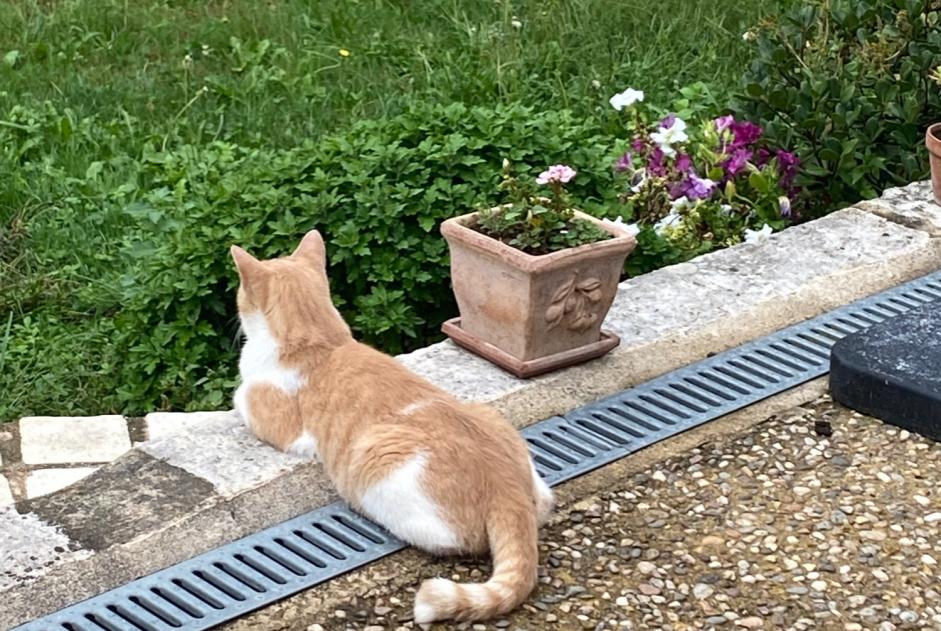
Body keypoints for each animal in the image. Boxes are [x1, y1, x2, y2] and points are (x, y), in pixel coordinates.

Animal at [230, 231, 552, 624]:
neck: (320, 341)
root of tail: (508, 489)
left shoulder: (279, 421)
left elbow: (240, 396)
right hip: (497, 425)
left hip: (379, 465)